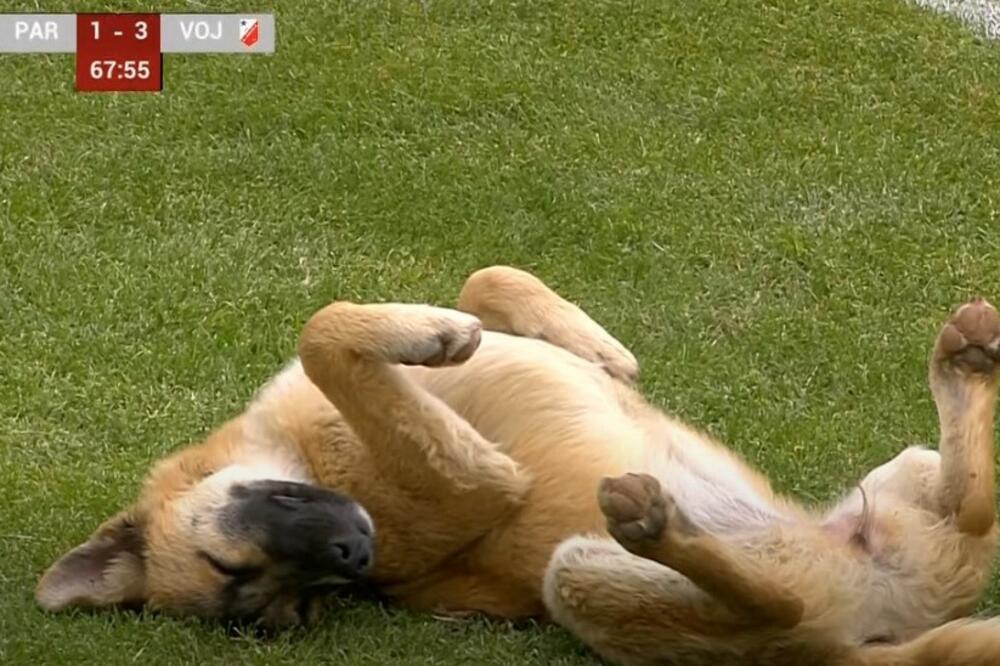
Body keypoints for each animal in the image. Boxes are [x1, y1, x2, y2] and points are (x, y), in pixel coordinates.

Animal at [35, 268, 1000, 660]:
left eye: (296, 608)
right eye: (256, 591)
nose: (356, 554)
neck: (310, 454)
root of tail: (875, 637)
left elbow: (477, 282)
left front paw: (591, 347)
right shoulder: (478, 481)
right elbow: (325, 332)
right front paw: (427, 336)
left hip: (906, 476)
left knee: (973, 504)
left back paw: (963, 368)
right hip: (582, 578)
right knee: (777, 602)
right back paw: (659, 524)